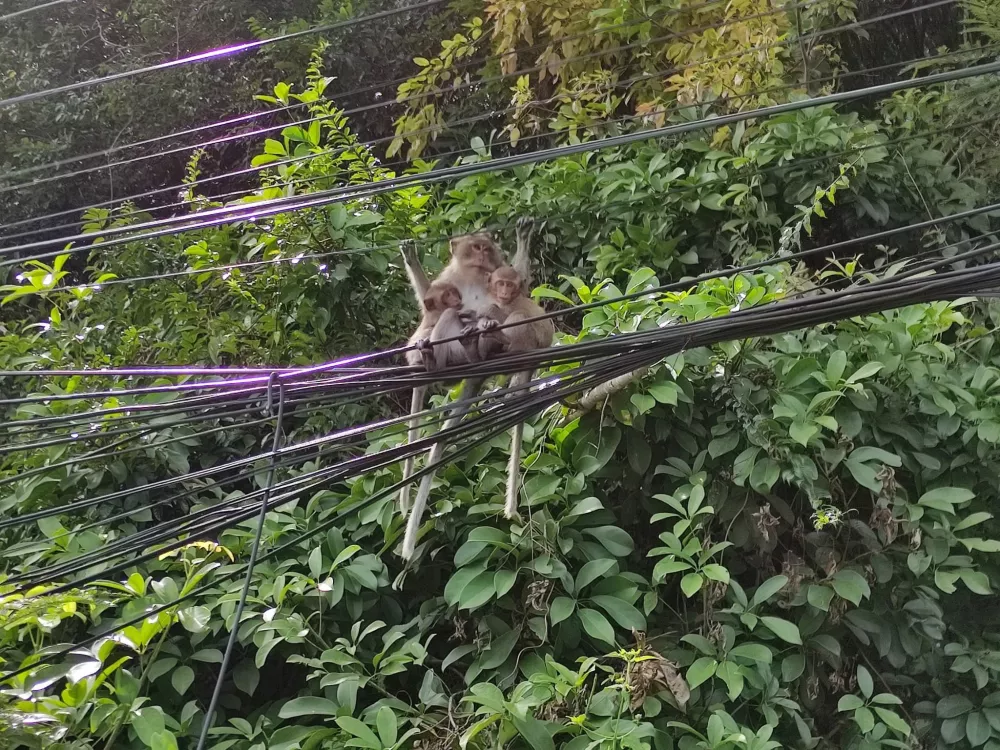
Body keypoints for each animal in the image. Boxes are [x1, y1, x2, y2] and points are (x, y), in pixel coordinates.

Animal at [400, 214, 548, 560]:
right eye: (475, 247)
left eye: (485, 247)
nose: (482, 254)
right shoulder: (450, 279)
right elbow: (430, 301)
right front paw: (412, 261)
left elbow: (520, 284)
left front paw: (523, 240)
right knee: (445, 319)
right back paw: (435, 359)